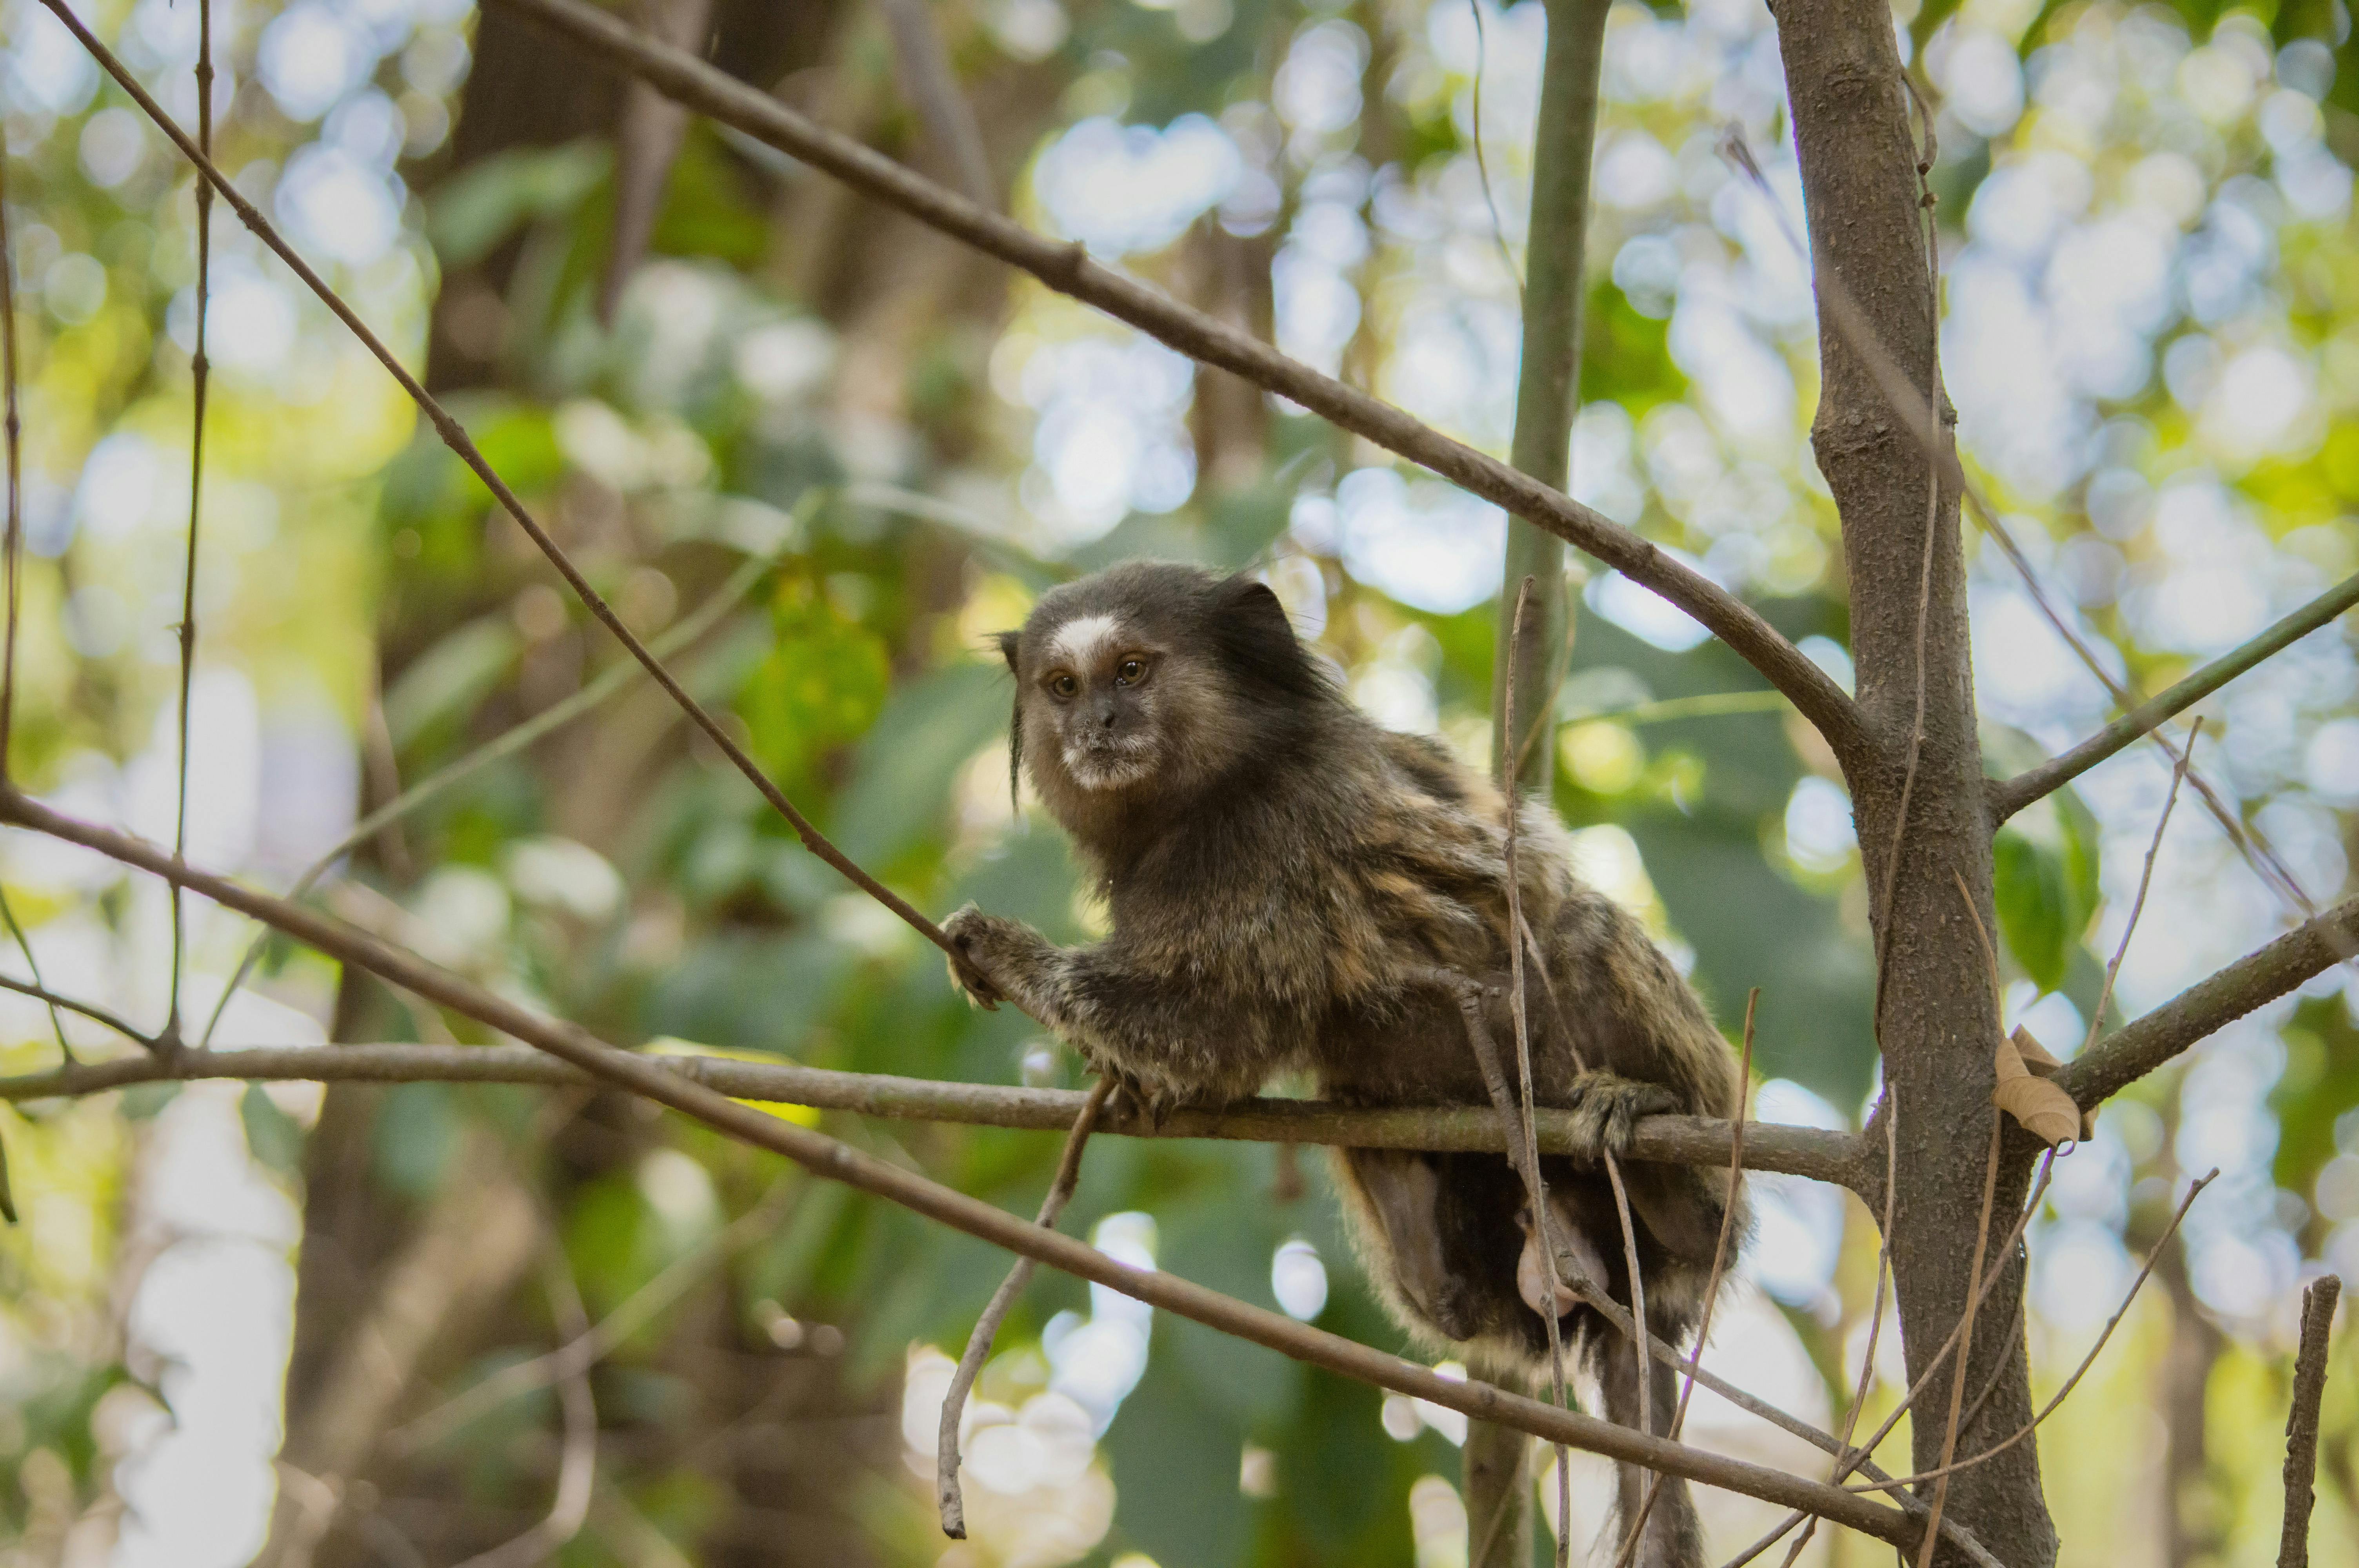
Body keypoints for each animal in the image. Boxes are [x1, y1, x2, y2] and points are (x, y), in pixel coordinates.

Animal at [942, 562, 1743, 1567]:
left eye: (1130, 670)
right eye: (1061, 686)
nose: (1097, 724)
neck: (1206, 790)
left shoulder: (1270, 839)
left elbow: (1211, 1025)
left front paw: (1000, 949)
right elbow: (1209, 1054)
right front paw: (1124, 1083)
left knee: (1583, 934)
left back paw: (1658, 1163)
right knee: (1440, 1279)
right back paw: (1409, 1190)